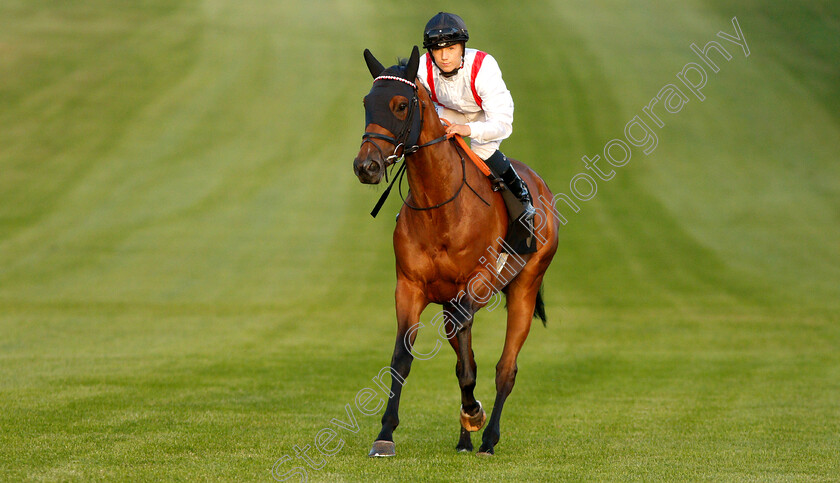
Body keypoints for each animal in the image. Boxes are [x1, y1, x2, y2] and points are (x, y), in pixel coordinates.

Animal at [352, 47, 556, 460]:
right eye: (367, 103)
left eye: (400, 105)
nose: (366, 166)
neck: (440, 206)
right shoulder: (410, 287)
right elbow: (403, 359)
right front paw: (385, 434)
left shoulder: (474, 286)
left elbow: (469, 367)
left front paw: (475, 415)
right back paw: (466, 436)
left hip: (525, 286)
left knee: (505, 368)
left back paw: (488, 438)